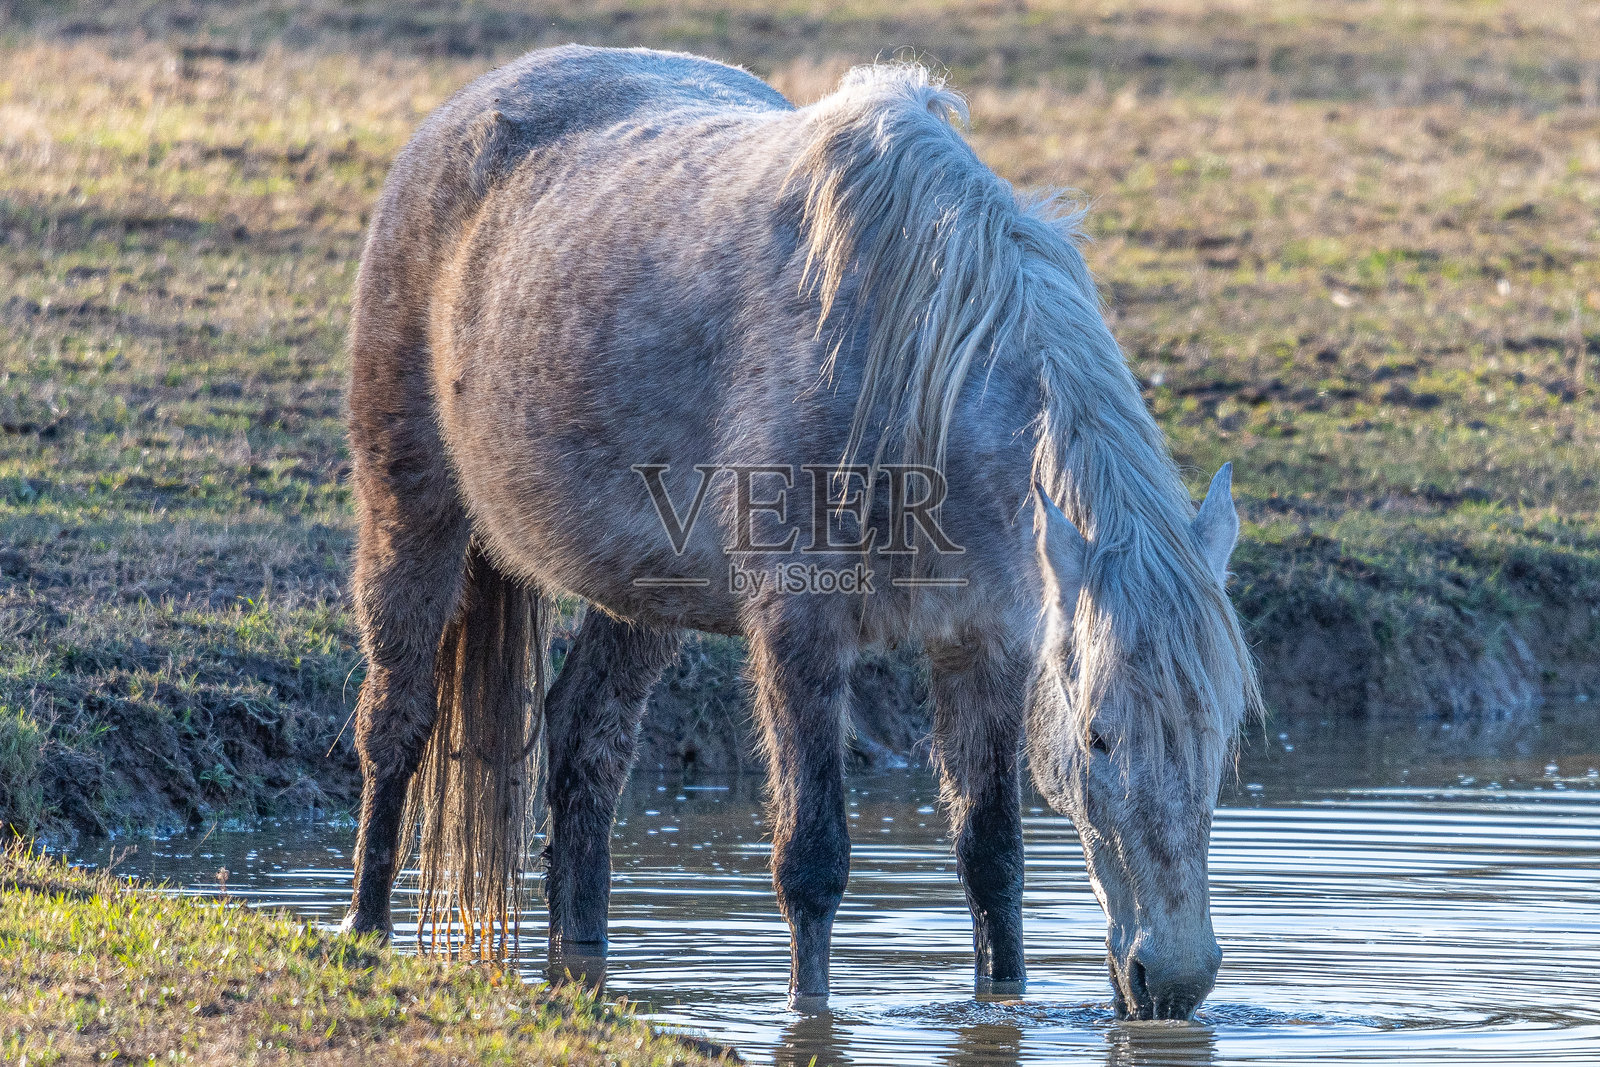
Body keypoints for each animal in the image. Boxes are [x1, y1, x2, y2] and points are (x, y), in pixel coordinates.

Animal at [339, 45, 1261, 1020]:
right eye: (1098, 738)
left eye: (1219, 735)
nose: (1175, 979)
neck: (912, 367)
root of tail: (467, 108)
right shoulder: (799, 630)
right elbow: (812, 862)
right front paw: (807, 1013)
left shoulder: (985, 640)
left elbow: (992, 857)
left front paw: (1001, 1003)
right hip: (413, 509)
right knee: (395, 723)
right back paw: (363, 927)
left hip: (639, 590)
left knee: (585, 749)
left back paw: (581, 960)